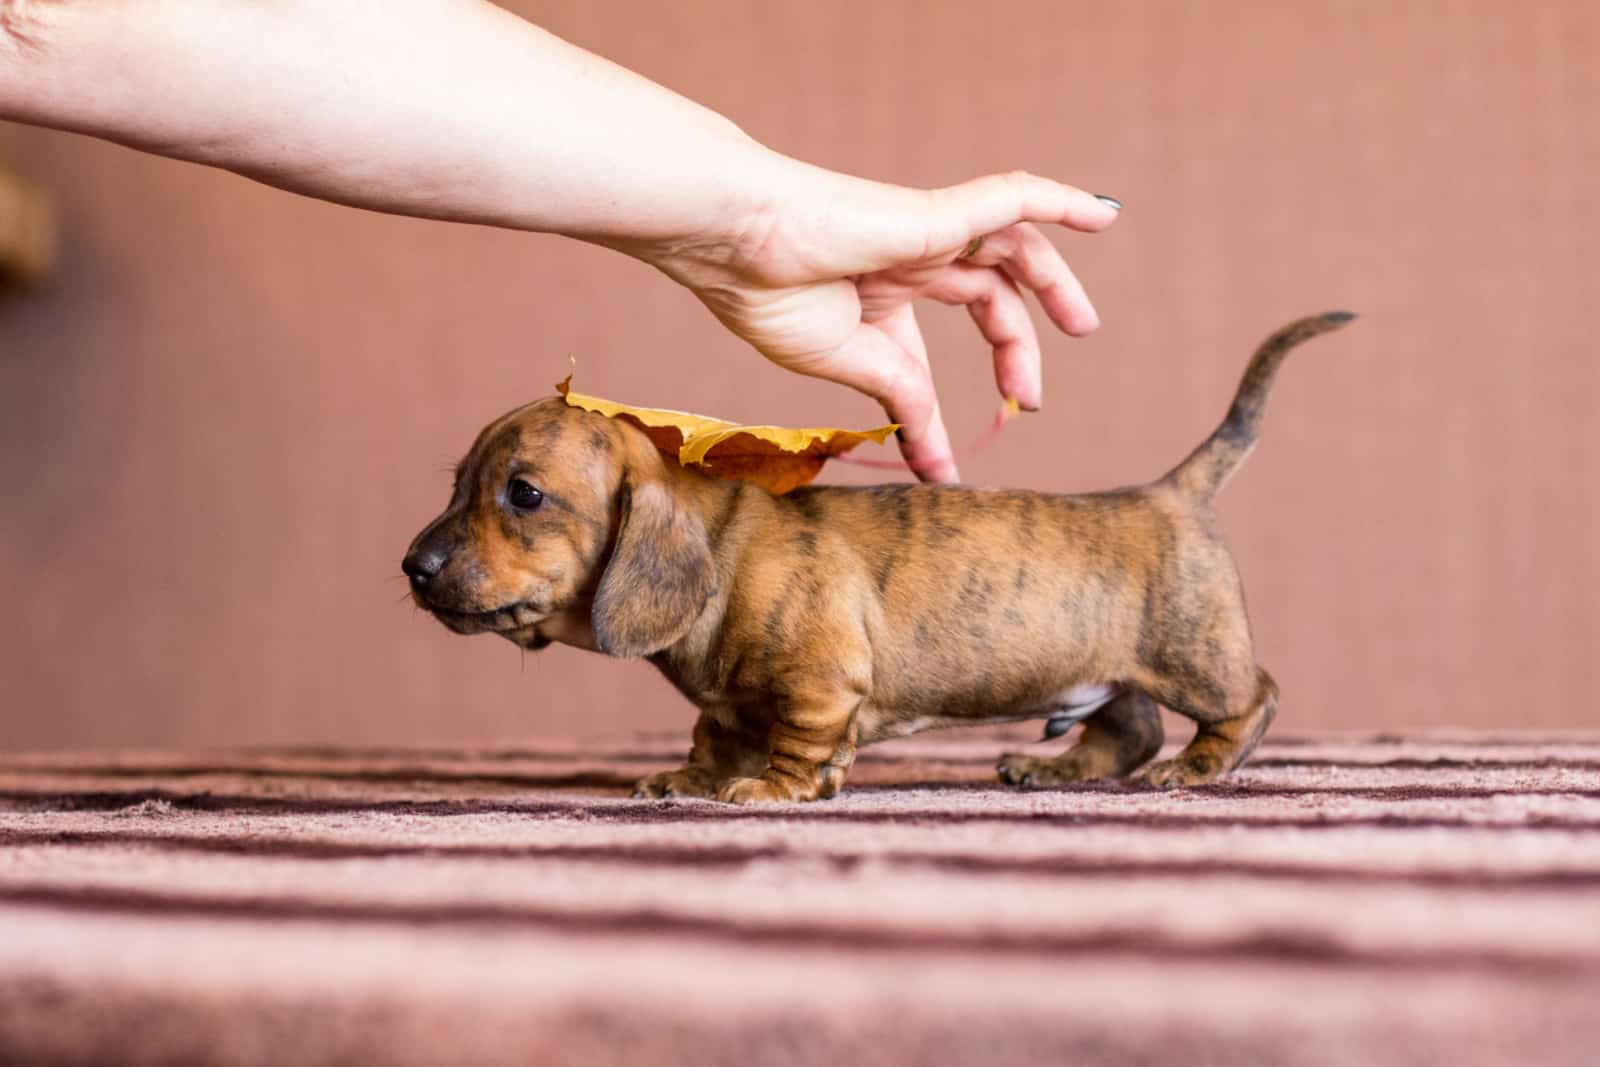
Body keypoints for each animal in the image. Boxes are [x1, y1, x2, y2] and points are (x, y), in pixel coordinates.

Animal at [406, 313, 1356, 806]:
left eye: (523, 493)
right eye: (458, 483)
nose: (414, 566)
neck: (722, 546)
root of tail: (1168, 491)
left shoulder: (821, 684)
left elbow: (794, 742)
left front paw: (774, 788)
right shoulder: (729, 702)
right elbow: (716, 733)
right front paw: (690, 777)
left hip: (1192, 655)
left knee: (1247, 702)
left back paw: (1192, 768)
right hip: (1103, 666)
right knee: (1127, 727)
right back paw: (1054, 766)